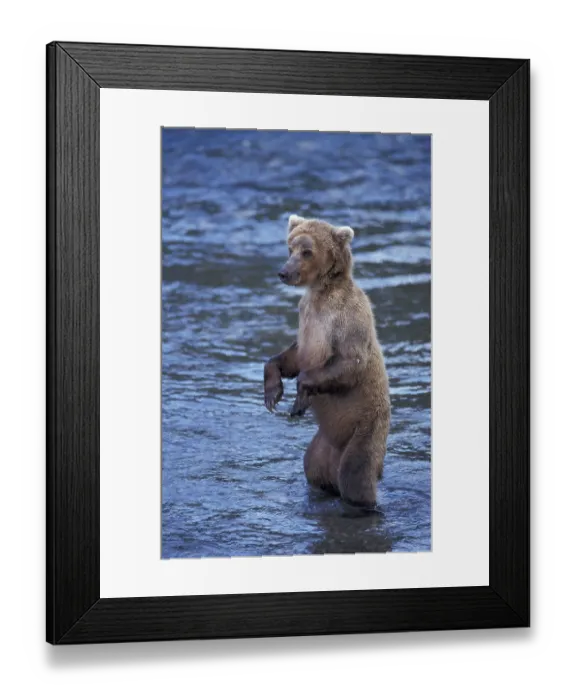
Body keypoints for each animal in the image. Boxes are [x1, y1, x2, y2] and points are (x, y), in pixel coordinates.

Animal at [264, 215, 391, 509]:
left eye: (307, 251)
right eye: (290, 247)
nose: (284, 272)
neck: (321, 292)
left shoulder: (345, 318)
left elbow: (350, 361)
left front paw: (299, 399)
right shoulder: (306, 316)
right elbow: (293, 356)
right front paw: (273, 394)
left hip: (365, 431)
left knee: (356, 475)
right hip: (320, 447)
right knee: (311, 467)